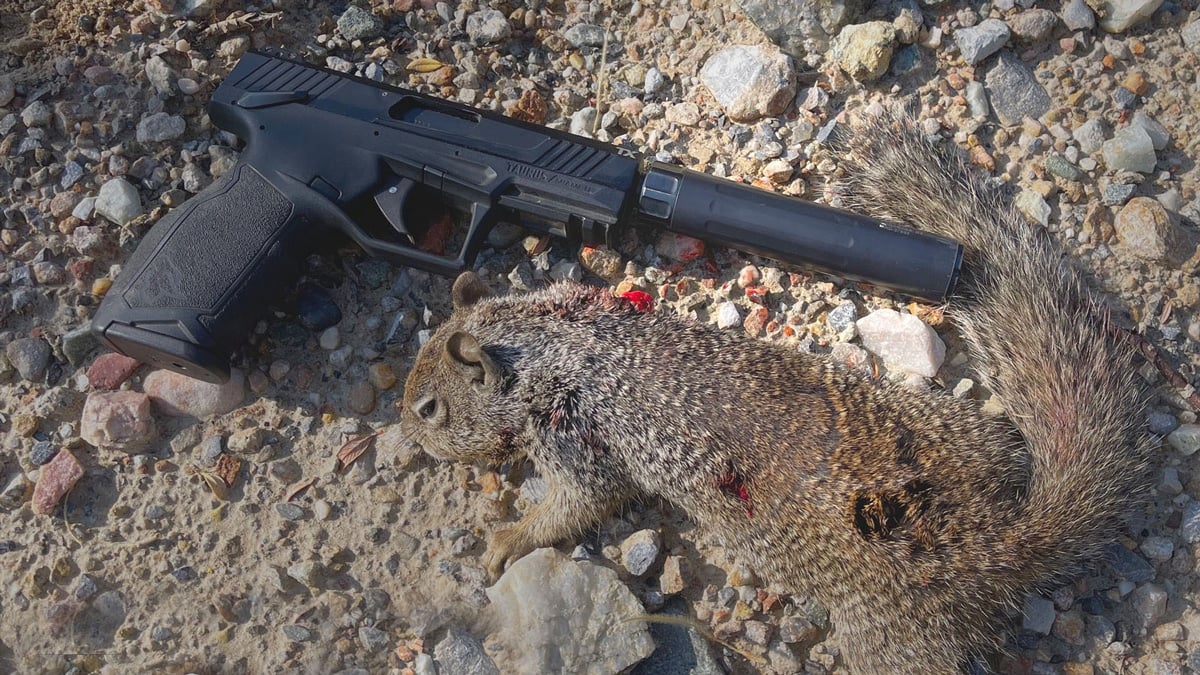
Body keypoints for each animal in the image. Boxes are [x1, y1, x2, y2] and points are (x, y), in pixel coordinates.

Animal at [397, 112, 1153, 673]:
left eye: (429, 408)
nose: (406, 435)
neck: (542, 336)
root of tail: (1002, 539)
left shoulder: (569, 433)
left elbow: (578, 503)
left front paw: (509, 537)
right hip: (969, 430)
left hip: (896, 638)